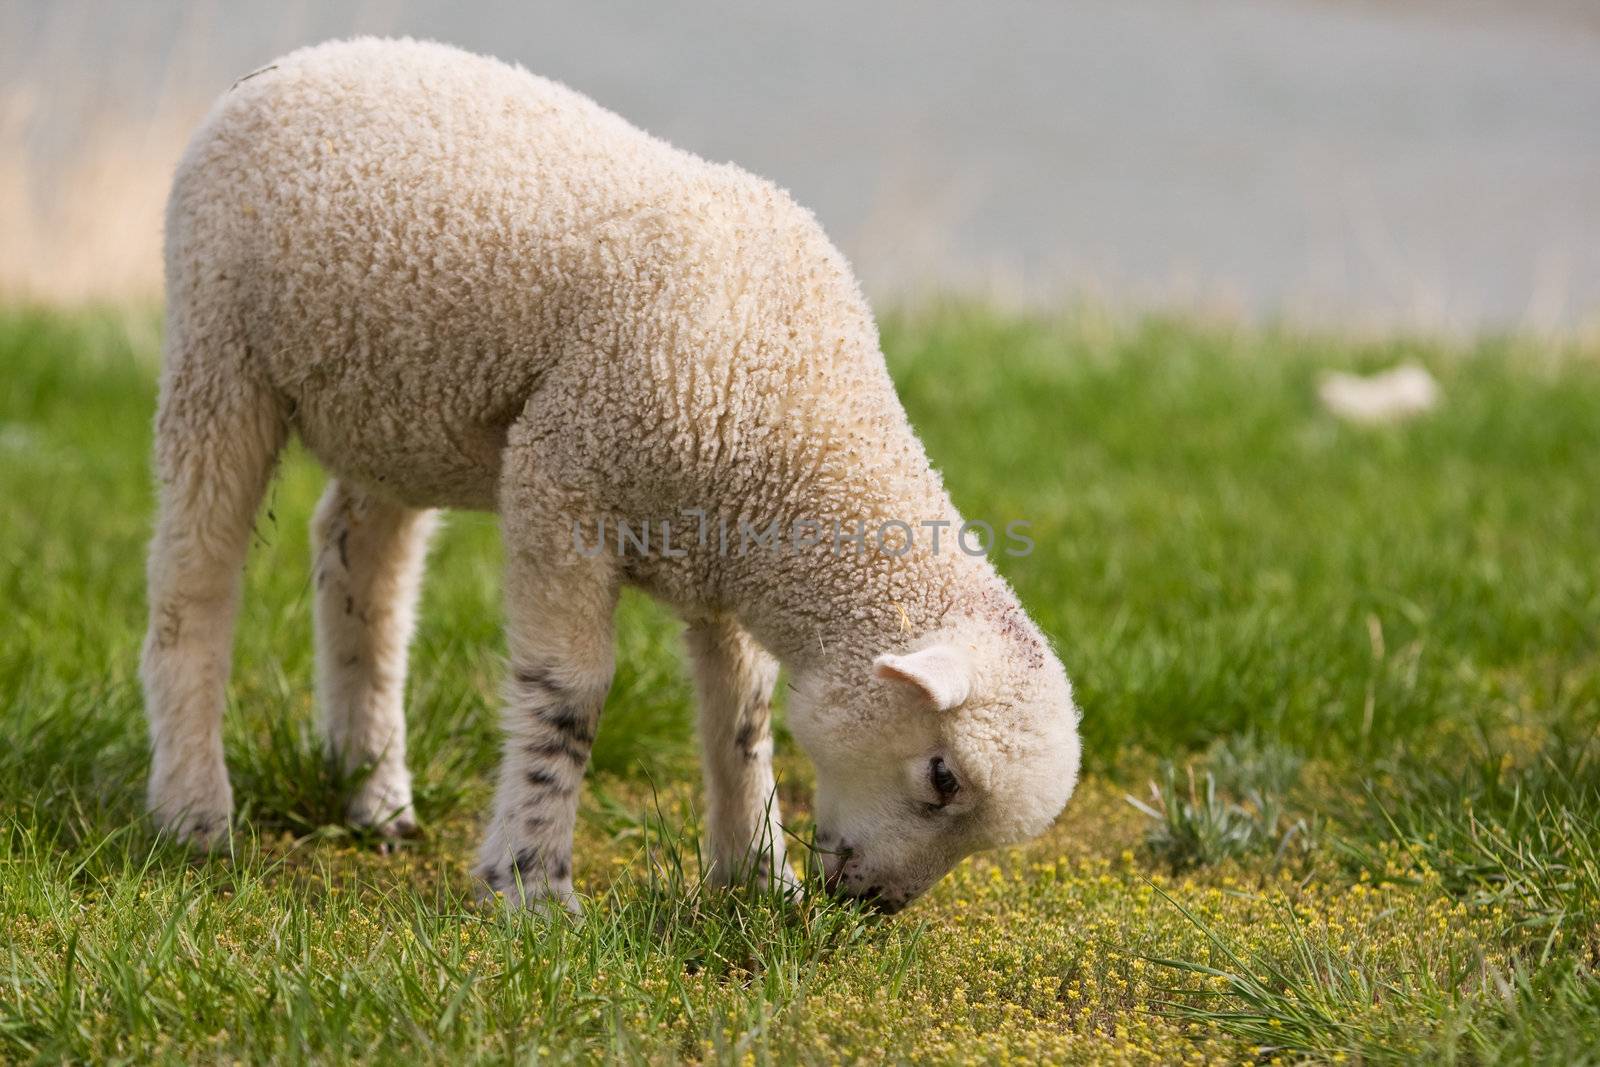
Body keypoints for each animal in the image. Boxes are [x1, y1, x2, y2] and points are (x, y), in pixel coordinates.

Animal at [144, 37, 1081, 915]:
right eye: (942, 777)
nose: (875, 904)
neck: (794, 413)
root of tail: (306, 59)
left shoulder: (721, 553)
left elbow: (741, 716)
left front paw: (756, 875)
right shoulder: (562, 479)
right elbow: (569, 699)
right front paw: (531, 887)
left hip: (394, 409)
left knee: (361, 564)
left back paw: (372, 791)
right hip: (219, 347)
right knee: (194, 582)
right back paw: (195, 812)